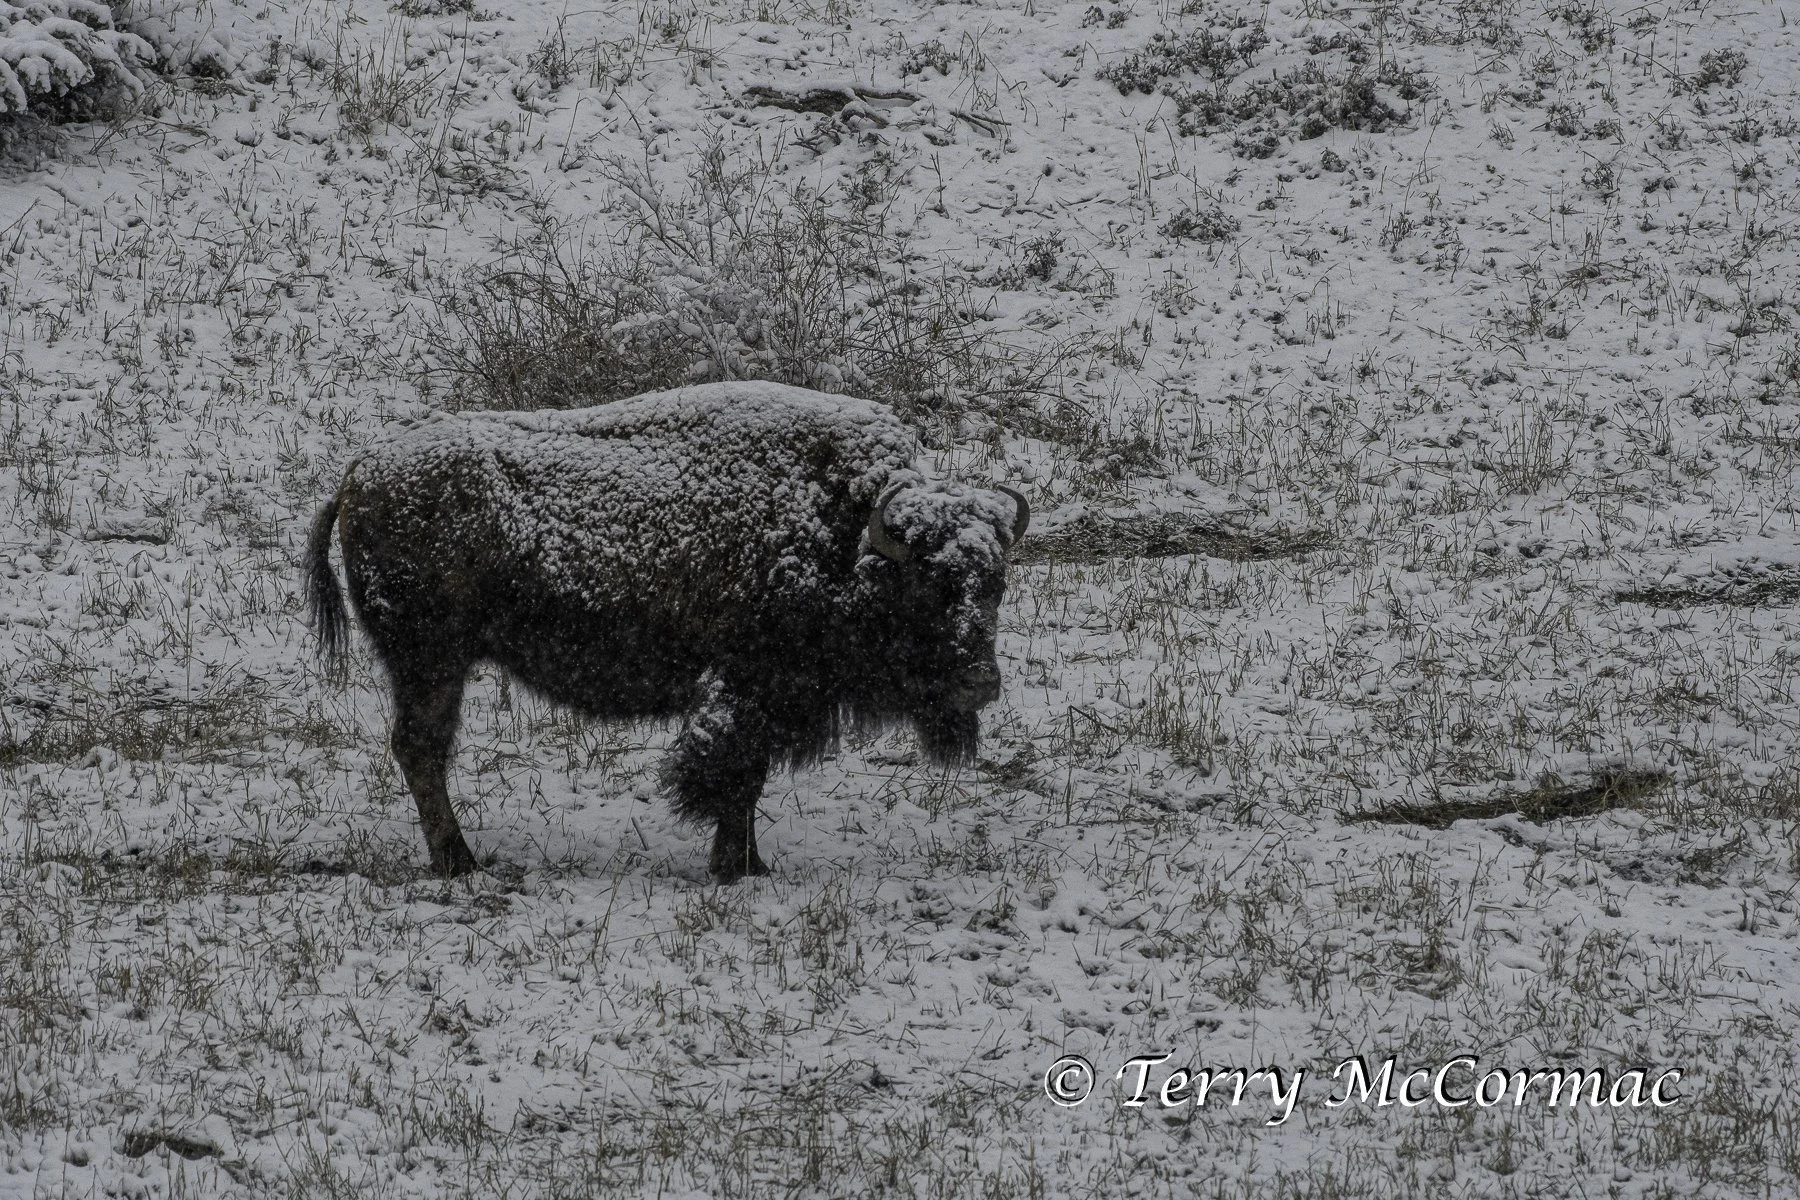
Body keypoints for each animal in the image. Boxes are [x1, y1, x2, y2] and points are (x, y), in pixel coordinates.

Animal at [304, 382, 1027, 881]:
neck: (844, 526)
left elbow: (745, 781)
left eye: (994, 583)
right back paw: (460, 862)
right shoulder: (747, 691)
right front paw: (735, 867)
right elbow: (733, 776)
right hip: (430, 659)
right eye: (930, 585)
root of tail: (358, 476)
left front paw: (749, 863)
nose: (979, 684)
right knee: (422, 747)